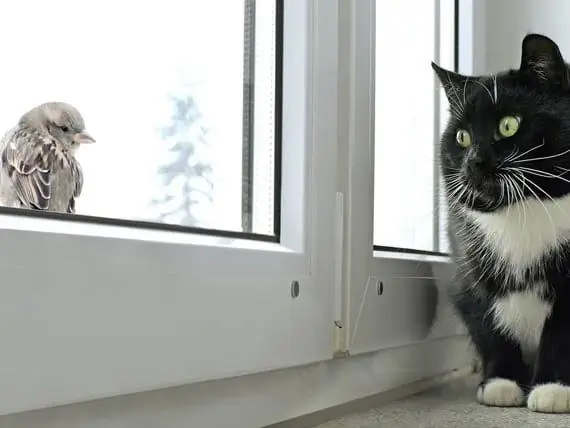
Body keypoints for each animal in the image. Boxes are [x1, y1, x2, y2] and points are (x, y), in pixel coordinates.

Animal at [432, 33, 570, 414]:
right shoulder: (466, 266)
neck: (523, 211)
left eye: (509, 124)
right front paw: (501, 383)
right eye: (461, 137)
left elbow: (561, 331)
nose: (474, 162)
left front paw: (554, 388)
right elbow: (488, 322)